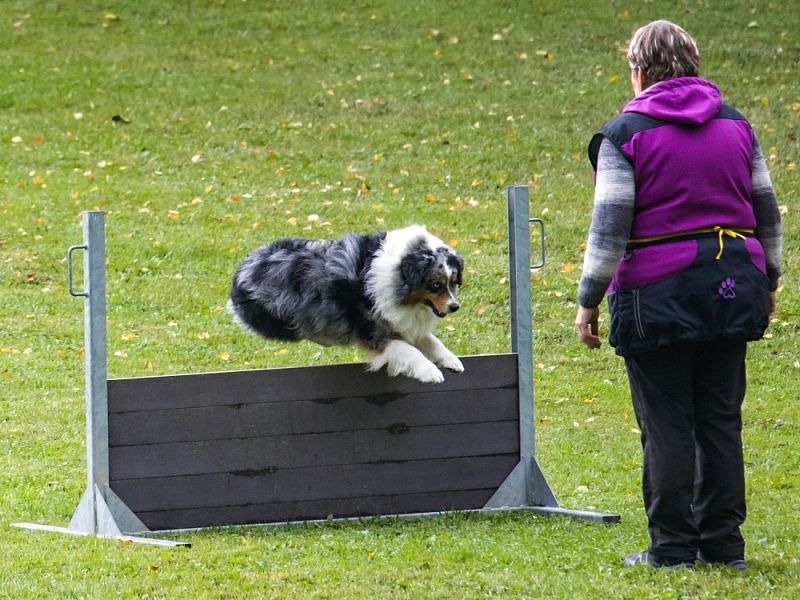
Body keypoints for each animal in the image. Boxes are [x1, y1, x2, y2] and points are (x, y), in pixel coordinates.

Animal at [227, 225, 462, 384]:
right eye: (435, 285)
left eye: (453, 283)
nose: (454, 307)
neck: (397, 275)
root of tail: (245, 265)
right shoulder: (373, 331)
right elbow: (409, 351)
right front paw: (431, 372)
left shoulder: (401, 321)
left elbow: (431, 341)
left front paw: (452, 361)